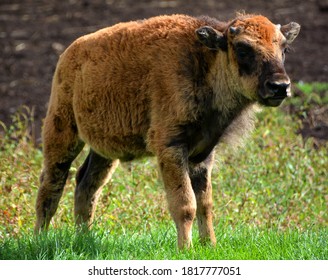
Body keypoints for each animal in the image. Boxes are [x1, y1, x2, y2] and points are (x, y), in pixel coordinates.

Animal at [35, 14, 300, 248]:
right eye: (243, 48)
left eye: (284, 49)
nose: (280, 86)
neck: (205, 63)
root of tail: (68, 55)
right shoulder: (171, 148)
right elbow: (185, 204)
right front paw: (186, 249)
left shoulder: (203, 154)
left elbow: (206, 204)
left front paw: (210, 245)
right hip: (62, 133)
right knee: (51, 185)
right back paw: (41, 238)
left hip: (104, 151)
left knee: (86, 185)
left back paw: (85, 239)